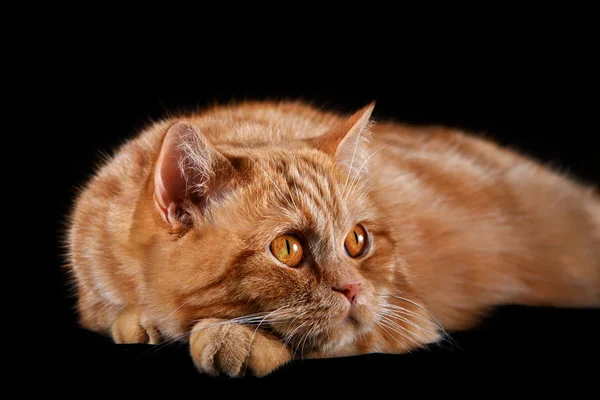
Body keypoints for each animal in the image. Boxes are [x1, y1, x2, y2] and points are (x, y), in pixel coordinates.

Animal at [65, 101, 600, 378]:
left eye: (357, 241)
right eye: (288, 249)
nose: (354, 289)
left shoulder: (404, 312)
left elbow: (329, 338)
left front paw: (235, 339)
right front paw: (139, 321)